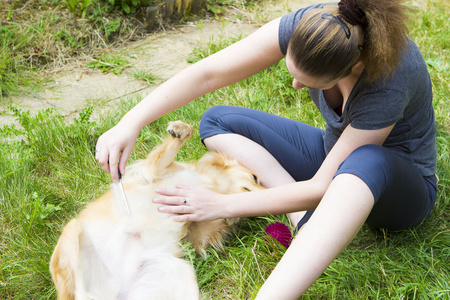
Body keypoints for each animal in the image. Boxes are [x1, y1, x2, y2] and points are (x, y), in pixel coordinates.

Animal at [48, 120, 262, 300]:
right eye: (255, 177)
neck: (209, 184)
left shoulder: (197, 230)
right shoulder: (154, 170)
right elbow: (178, 140)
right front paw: (180, 130)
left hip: (178, 272)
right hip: (72, 230)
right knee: (81, 293)